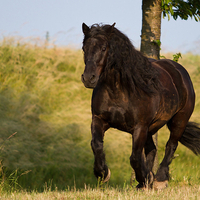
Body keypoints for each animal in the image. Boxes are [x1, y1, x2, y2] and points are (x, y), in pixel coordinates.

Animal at [81, 23, 200, 189]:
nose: (88, 78)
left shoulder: (139, 127)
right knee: (152, 149)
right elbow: (96, 145)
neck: (119, 90)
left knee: (171, 146)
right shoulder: (99, 119)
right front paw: (102, 173)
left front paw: (144, 178)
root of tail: (180, 71)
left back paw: (160, 179)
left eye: (104, 48)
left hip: (179, 120)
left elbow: (135, 157)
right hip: (151, 128)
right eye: (84, 48)